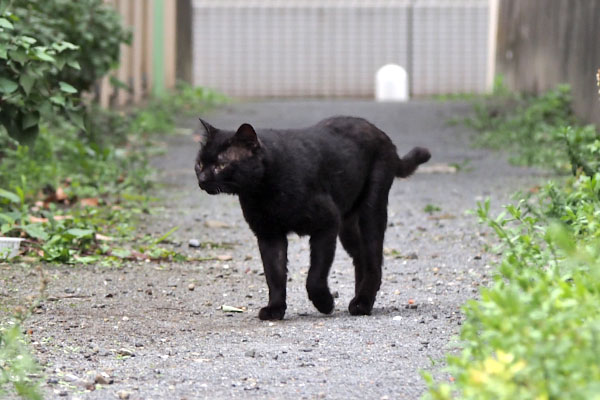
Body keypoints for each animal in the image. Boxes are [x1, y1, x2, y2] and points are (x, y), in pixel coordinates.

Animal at [197, 115, 432, 318]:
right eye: (199, 164)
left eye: (221, 165)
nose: (202, 179)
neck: (261, 192)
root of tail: (381, 133)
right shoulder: (269, 235)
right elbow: (274, 275)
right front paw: (275, 309)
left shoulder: (326, 224)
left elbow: (315, 275)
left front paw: (325, 303)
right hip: (348, 226)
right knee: (361, 258)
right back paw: (360, 300)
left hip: (371, 209)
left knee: (374, 259)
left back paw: (362, 304)